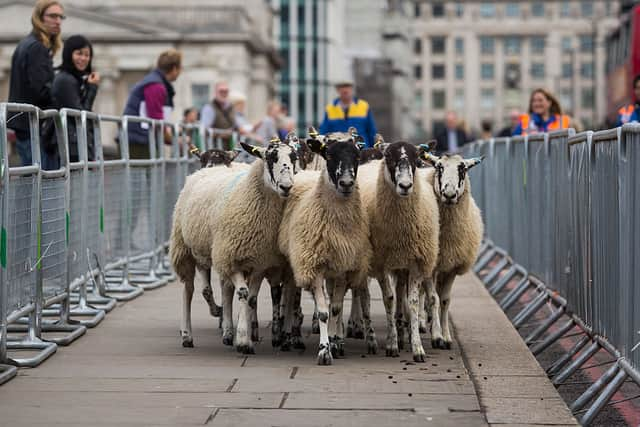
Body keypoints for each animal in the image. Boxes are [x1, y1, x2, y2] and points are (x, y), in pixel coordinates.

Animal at [170, 140, 300, 354]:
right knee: (188, 290)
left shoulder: (258, 263)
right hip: (186, 249)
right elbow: (242, 293)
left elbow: (251, 299)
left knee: (224, 290)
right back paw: (187, 335)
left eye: (294, 158)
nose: (286, 187)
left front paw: (244, 336)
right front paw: (242, 340)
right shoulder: (230, 259)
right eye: (270, 158)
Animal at [278, 132, 372, 366]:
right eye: (328, 155)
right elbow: (322, 312)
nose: (346, 183)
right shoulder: (314, 266)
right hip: (296, 261)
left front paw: (335, 343)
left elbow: (335, 309)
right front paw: (324, 351)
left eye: (357, 156)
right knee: (292, 293)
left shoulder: (344, 266)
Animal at [360, 139, 440, 362]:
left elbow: (411, 302)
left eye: (416, 157)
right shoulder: (380, 263)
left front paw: (417, 348)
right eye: (388, 156)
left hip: (402, 264)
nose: (405, 186)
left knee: (401, 293)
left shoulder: (416, 262)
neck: (401, 227)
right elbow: (389, 300)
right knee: (364, 298)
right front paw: (392, 344)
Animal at [420, 152, 484, 350]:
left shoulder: (451, 267)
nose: (449, 194)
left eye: (462, 169)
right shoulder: (429, 265)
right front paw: (437, 336)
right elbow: (433, 298)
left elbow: (445, 300)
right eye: (439, 167)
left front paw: (447, 337)